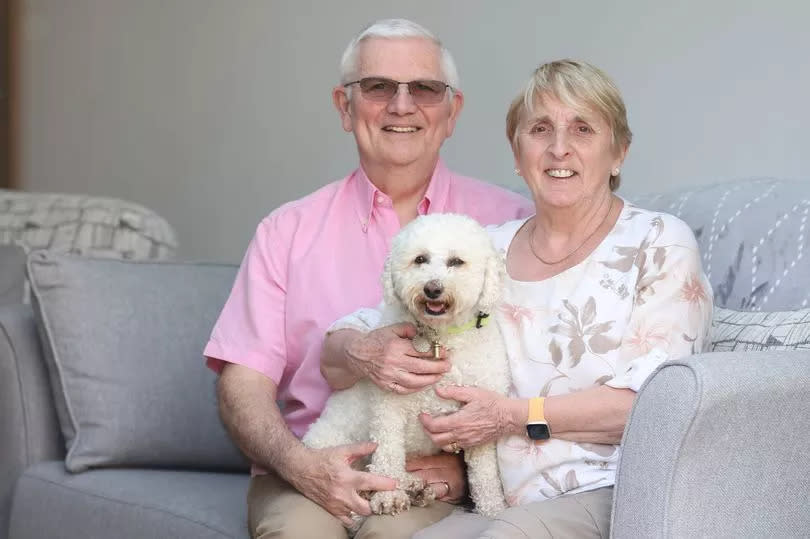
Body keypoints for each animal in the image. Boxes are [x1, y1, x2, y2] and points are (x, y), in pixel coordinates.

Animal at [302, 213, 504, 528]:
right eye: (420, 259)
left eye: (456, 262)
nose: (432, 288)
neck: (439, 338)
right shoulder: (388, 407)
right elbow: (387, 452)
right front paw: (388, 496)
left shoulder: (476, 418)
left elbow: (485, 475)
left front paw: (492, 510)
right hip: (333, 445)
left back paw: (414, 487)